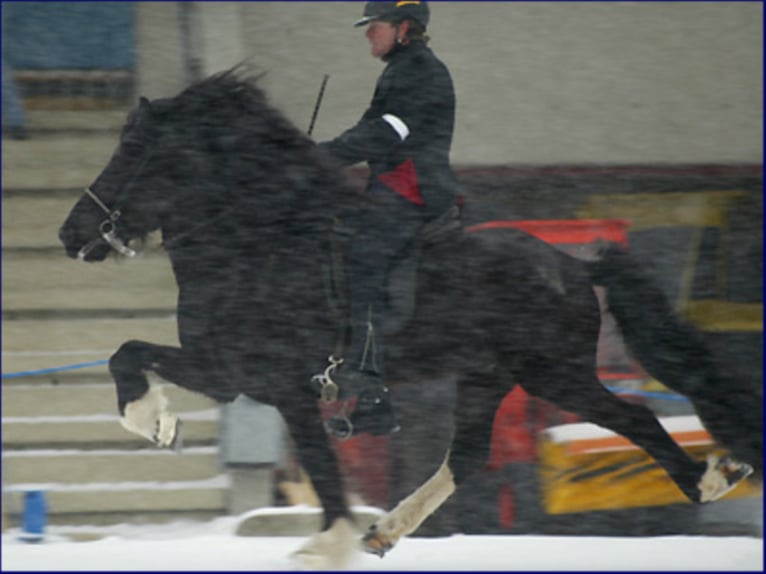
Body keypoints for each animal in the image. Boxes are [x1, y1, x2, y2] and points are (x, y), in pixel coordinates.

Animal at [58, 71, 756, 568]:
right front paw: (157, 422)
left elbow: (321, 466)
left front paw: (325, 544)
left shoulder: (278, 385)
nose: (70, 234)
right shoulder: (228, 372)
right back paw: (384, 532)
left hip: (556, 376)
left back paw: (711, 479)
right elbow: (127, 351)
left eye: (132, 149)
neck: (259, 242)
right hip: (487, 378)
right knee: (468, 455)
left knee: (635, 418)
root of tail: (572, 264)